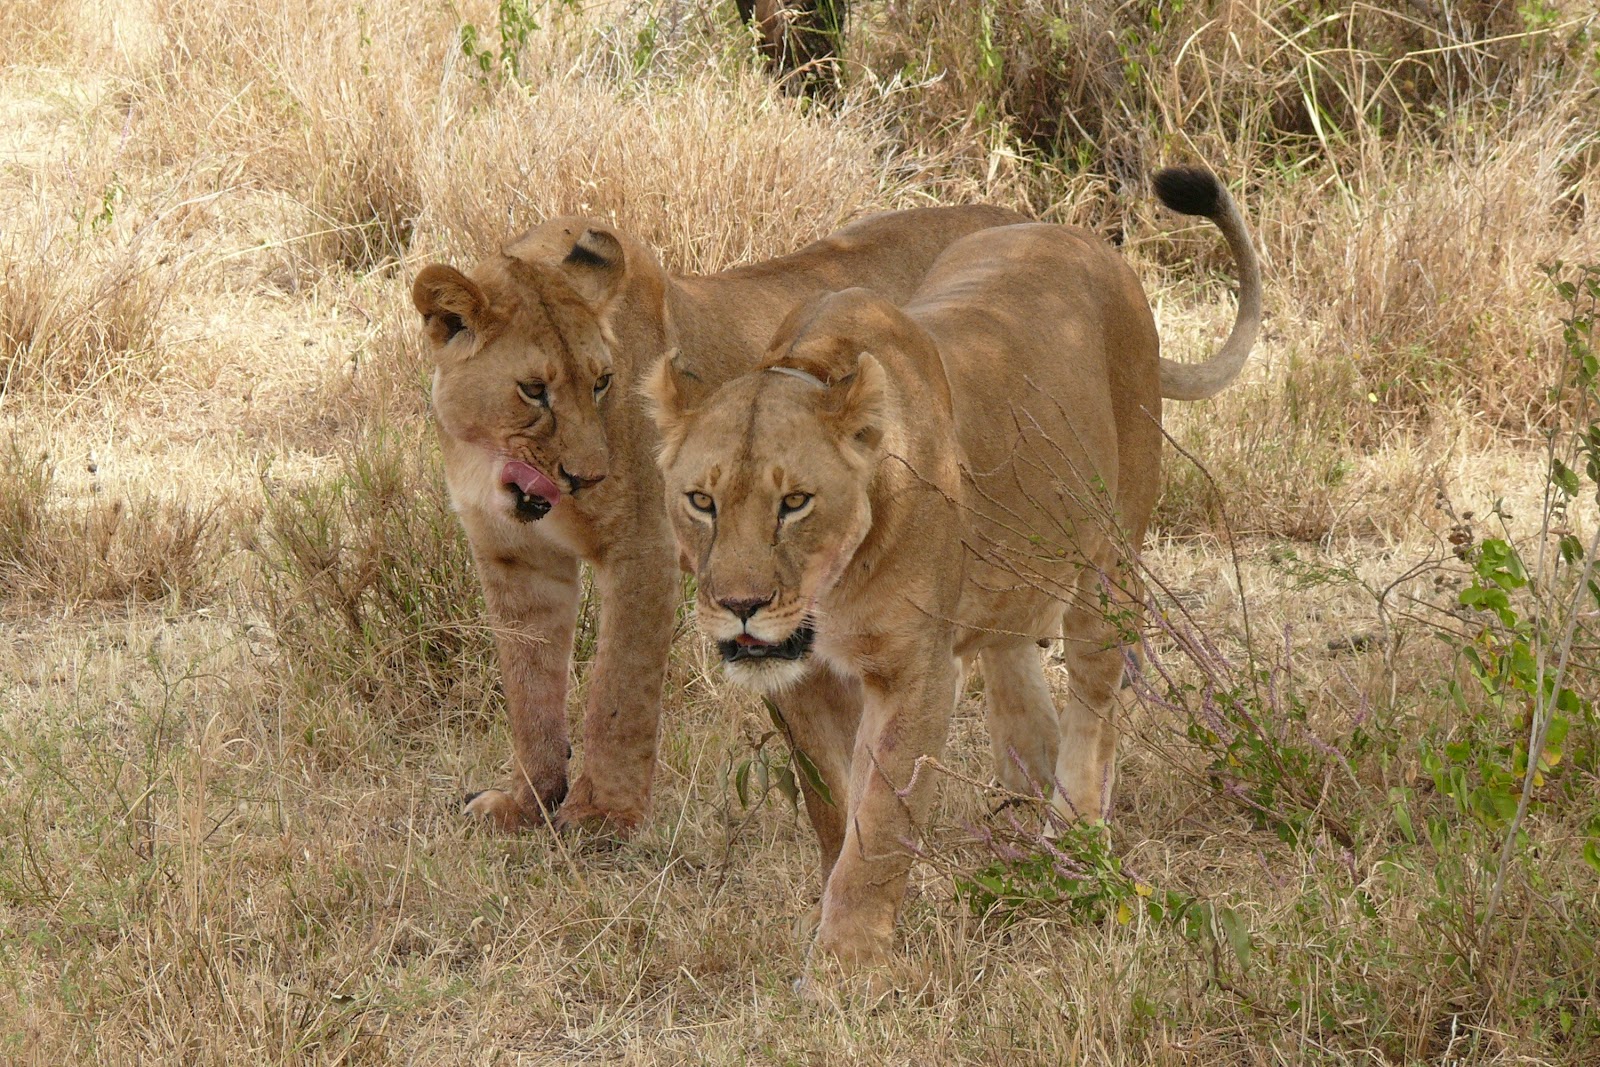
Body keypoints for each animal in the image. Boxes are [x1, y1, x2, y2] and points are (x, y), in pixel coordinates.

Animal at [411, 203, 1028, 834]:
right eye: (533, 390)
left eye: (602, 382)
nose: (590, 476)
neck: (489, 462)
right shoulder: (513, 560)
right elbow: (528, 688)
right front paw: (526, 802)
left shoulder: (642, 549)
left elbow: (618, 691)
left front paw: (600, 815)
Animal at [644, 166, 1261, 981]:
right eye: (702, 501)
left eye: (795, 502)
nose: (739, 604)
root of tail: (1091, 242)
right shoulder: (806, 680)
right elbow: (836, 803)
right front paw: (863, 916)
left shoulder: (915, 670)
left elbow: (878, 818)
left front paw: (845, 968)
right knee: (1023, 693)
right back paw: (1015, 822)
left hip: (1110, 557)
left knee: (1095, 698)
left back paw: (1071, 844)